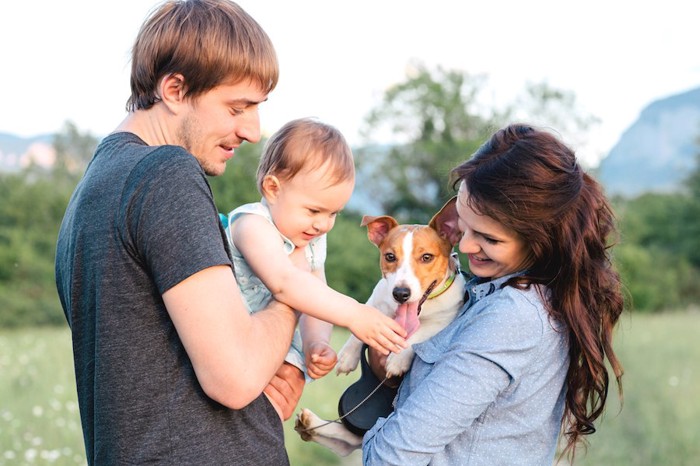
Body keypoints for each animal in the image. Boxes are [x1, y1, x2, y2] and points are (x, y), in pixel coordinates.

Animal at [296, 197, 464, 456]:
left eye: (426, 257)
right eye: (390, 256)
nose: (401, 293)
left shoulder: (446, 318)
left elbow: (419, 334)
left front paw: (398, 358)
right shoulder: (378, 298)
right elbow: (364, 317)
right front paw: (348, 356)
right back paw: (313, 424)